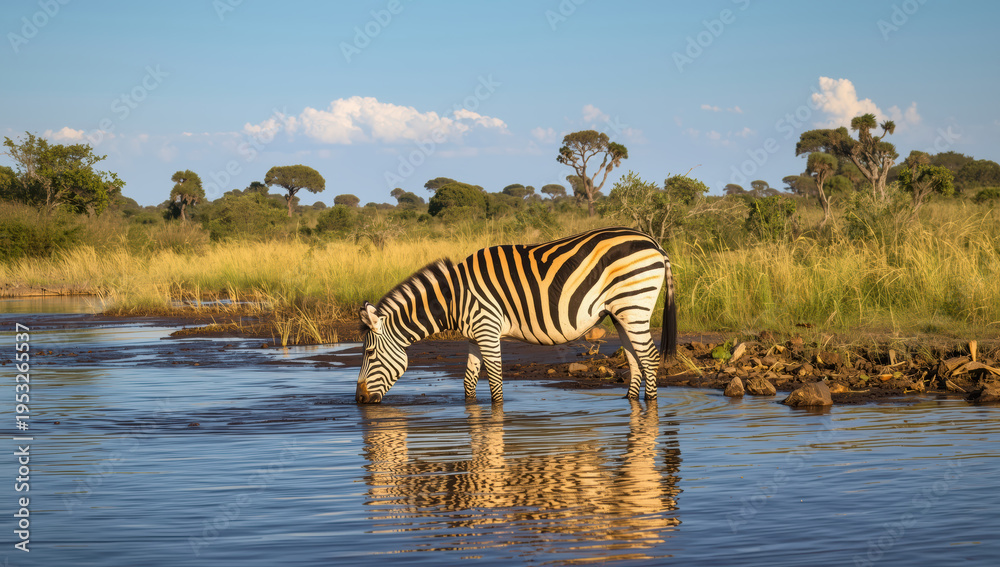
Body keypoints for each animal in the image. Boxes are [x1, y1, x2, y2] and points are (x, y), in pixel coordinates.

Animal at [356, 226, 676, 404]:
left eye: (369, 353)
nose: (358, 399)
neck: (455, 299)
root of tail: (654, 242)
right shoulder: (474, 335)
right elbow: (469, 382)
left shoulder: (487, 329)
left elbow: (496, 382)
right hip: (621, 312)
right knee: (635, 359)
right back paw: (630, 403)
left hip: (633, 304)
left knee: (649, 357)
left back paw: (651, 407)